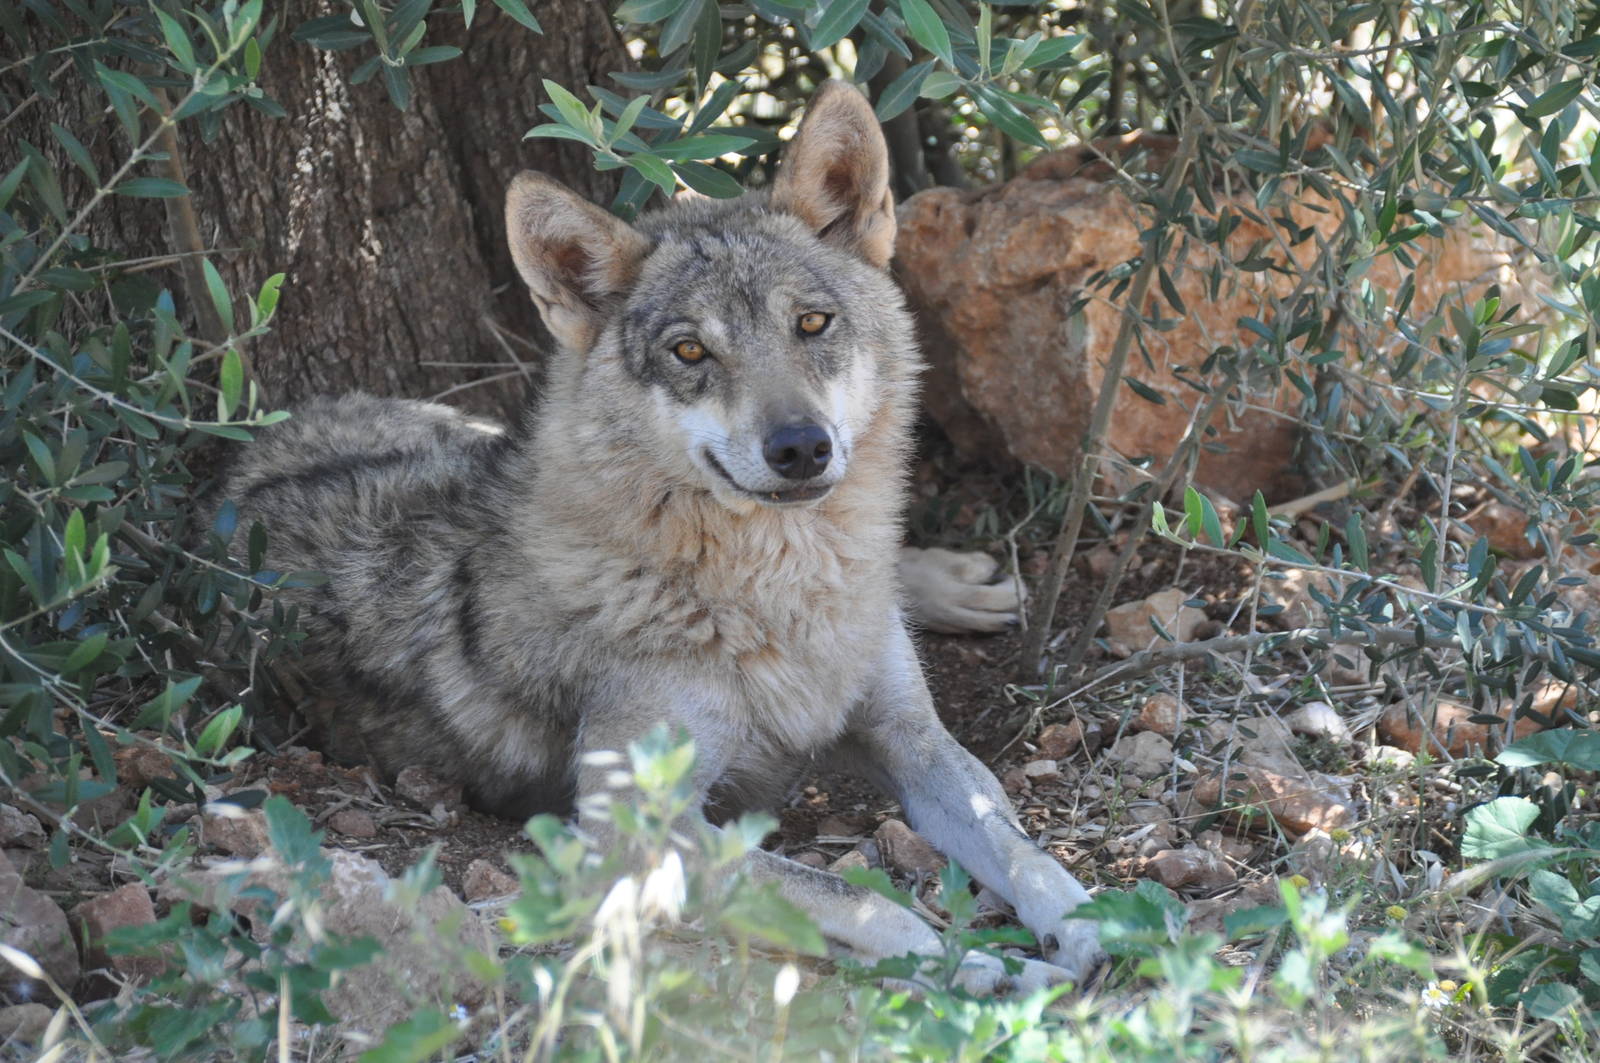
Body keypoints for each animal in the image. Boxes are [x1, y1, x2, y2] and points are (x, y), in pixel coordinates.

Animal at [221, 80, 1103, 991]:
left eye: (812, 324)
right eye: (689, 351)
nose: (800, 447)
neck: (787, 594)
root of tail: (261, 442)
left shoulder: (912, 738)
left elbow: (1022, 847)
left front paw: (1092, 923)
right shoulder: (631, 824)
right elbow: (856, 897)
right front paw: (972, 964)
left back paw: (950, 583)